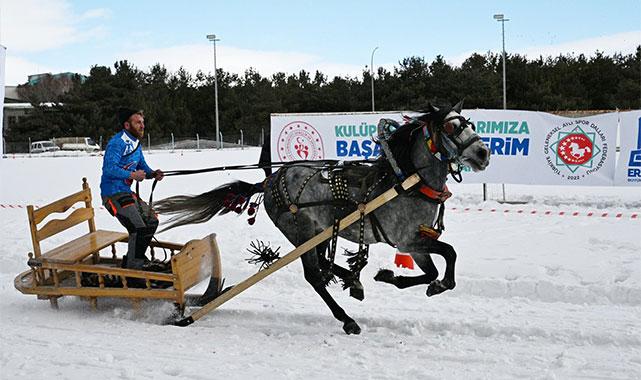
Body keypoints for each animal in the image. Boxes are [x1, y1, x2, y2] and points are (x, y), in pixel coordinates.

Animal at [156, 101, 490, 336]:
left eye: (470, 124)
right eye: (451, 128)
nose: (483, 153)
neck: (406, 179)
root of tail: (271, 180)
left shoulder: (413, 244)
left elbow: (431, 269)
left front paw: (392, 277)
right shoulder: (407, 240)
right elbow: (449, 254)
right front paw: (440, 284)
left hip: (318, 230)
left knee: (323, 263)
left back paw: (353, 280)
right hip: (300, 230)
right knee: (314, 275)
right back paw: (347, 318)